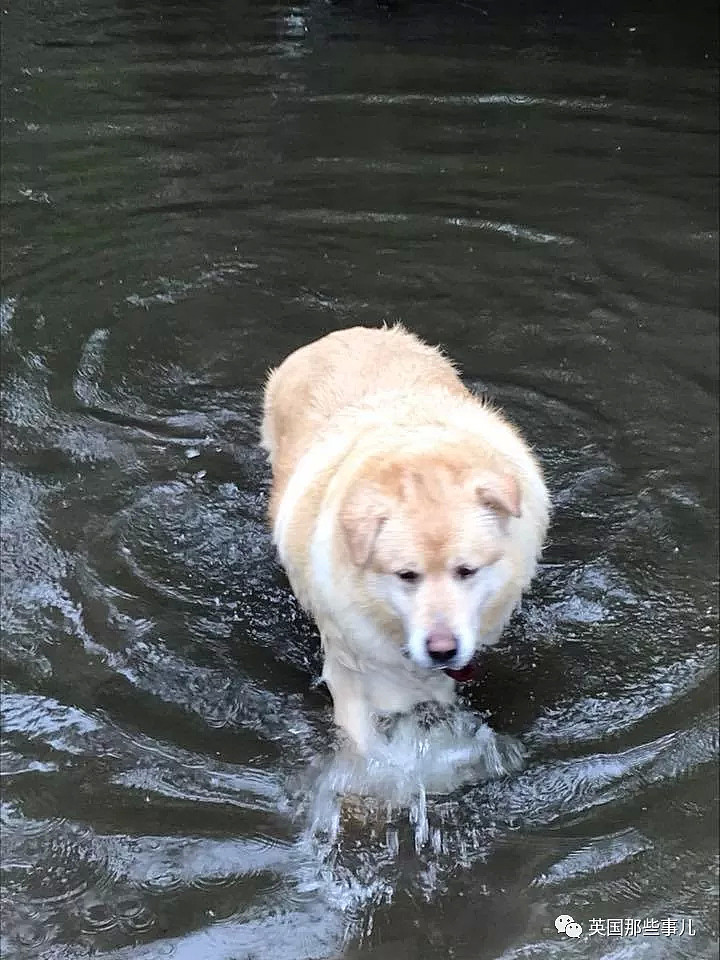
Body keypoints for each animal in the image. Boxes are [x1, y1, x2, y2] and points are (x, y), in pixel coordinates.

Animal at [262, 326, 548, 752]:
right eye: (406, 576)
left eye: (466, 571)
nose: (442, 649)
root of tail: (351, 331)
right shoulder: (347, 662)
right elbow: (361, 742)